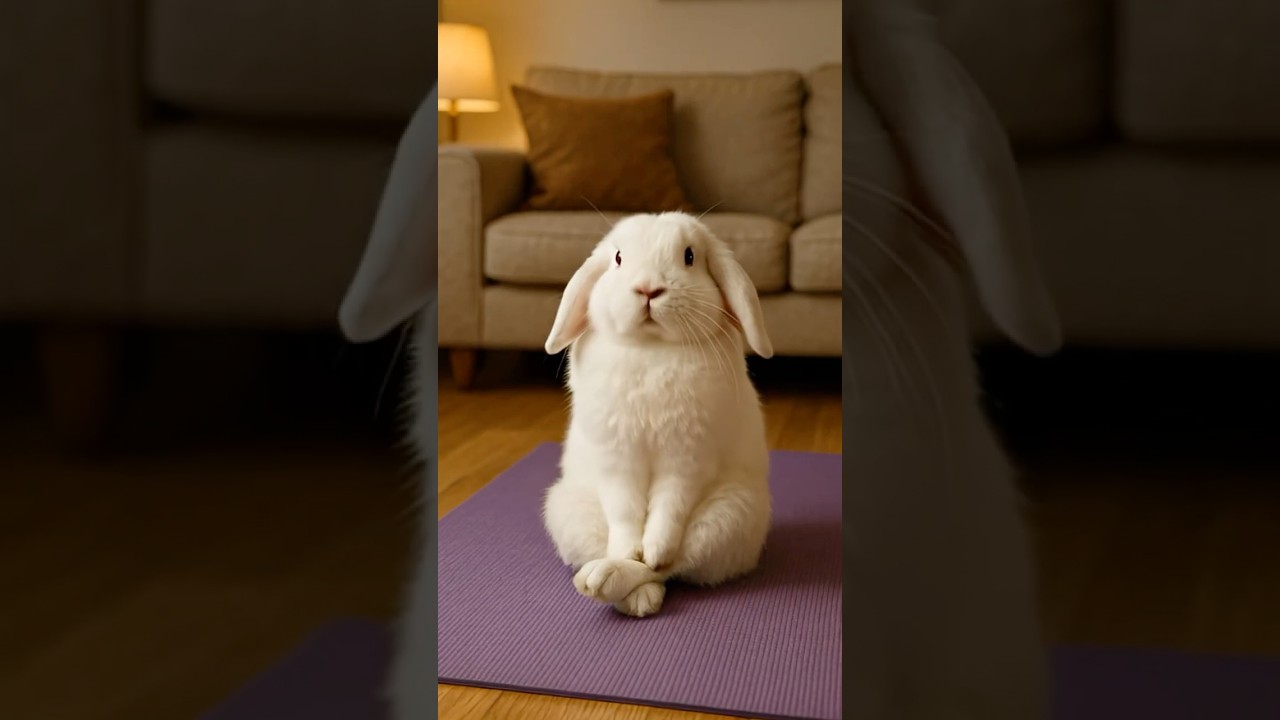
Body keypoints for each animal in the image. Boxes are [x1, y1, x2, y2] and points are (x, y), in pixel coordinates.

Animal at [541, 211, 776, 618]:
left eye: (689, 257)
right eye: (618, 257)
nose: (648, 289)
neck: (651, 348)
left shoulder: (687, 459)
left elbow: (669, 511)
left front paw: (651, 551)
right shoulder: (617, 459)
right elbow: (624, 513)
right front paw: (629, 551)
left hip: (731, 516)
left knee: (670, 567)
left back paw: (613, 582)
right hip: (567, 509)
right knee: (635, 564)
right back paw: (615, 585)